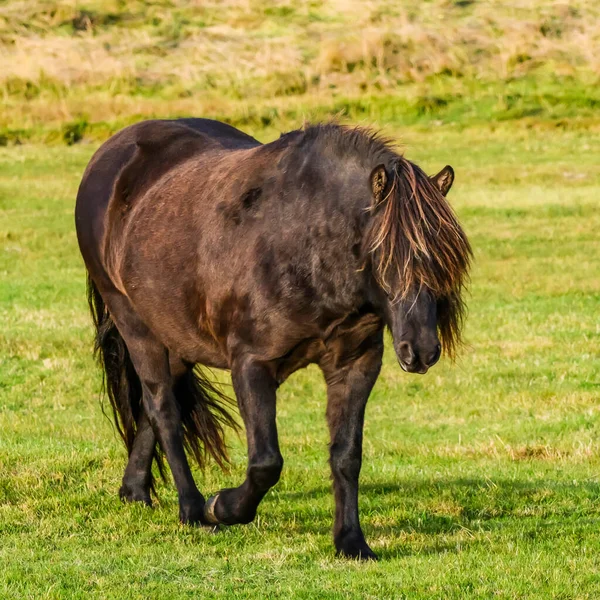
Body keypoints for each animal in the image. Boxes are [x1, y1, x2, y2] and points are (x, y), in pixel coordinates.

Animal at [75, 119, 472, 560]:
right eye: (387, 254)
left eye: (444, 261)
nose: (422, 351)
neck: (306, 244)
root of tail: (113, 151)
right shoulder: (252, 364)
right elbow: (266, 462)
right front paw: (223, 507)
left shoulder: (355, 365)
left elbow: (346, 456)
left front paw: (351, 542)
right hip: (136, 325)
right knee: (163, 409)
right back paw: (193, 509)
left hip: (176, 336)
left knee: (152, 408)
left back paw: (135, 491)